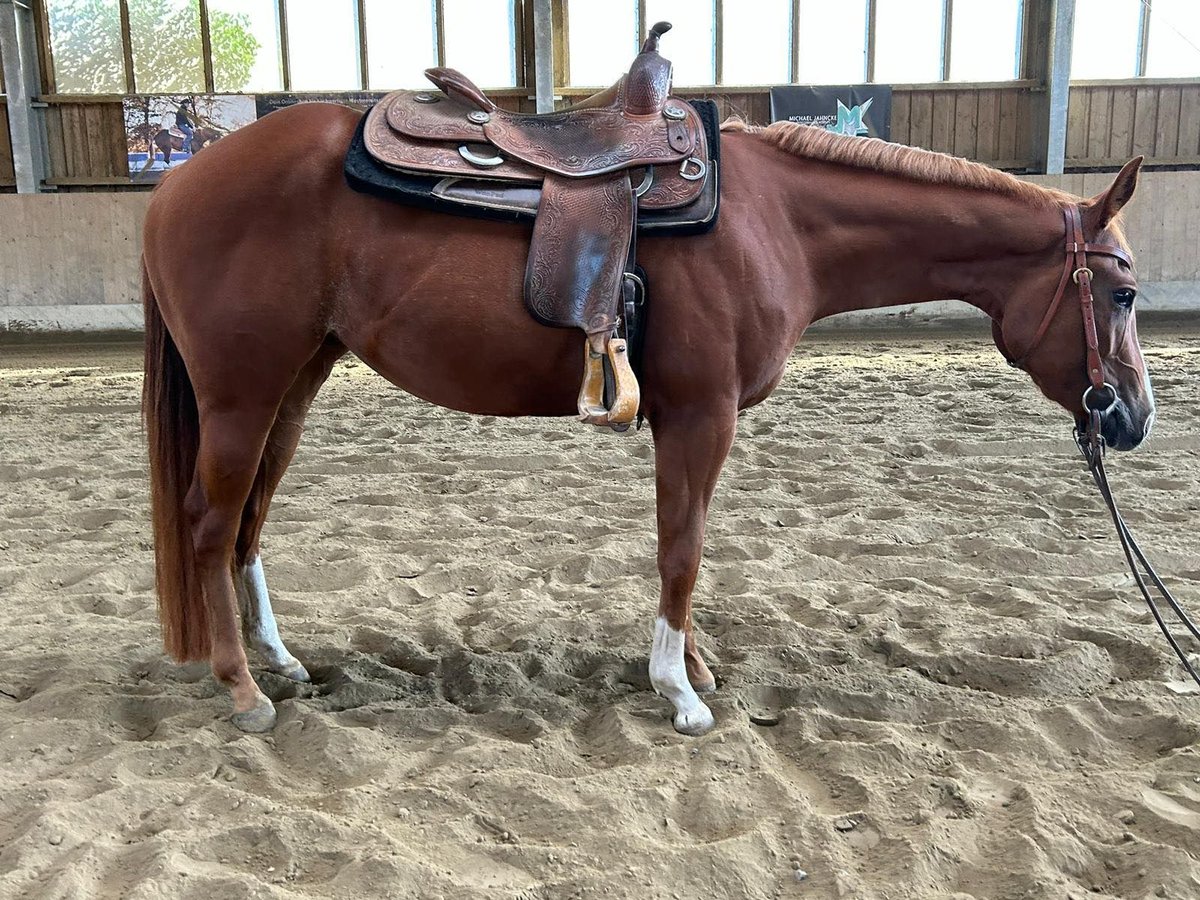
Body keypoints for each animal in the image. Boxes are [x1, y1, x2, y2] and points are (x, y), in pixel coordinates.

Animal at [142, 103, 1152, 739]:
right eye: (1124, 293)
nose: (1134, 418)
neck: (775, 221)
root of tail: (178, 186)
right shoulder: (702, 417)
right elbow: (683, 548)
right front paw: (680, 693)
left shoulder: (692, 421)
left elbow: (686, 542)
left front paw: (694, 667)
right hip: (243, 393)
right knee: (209, 525)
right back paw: (243, 690)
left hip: (293, 384)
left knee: (248, 524)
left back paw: (281, 663)